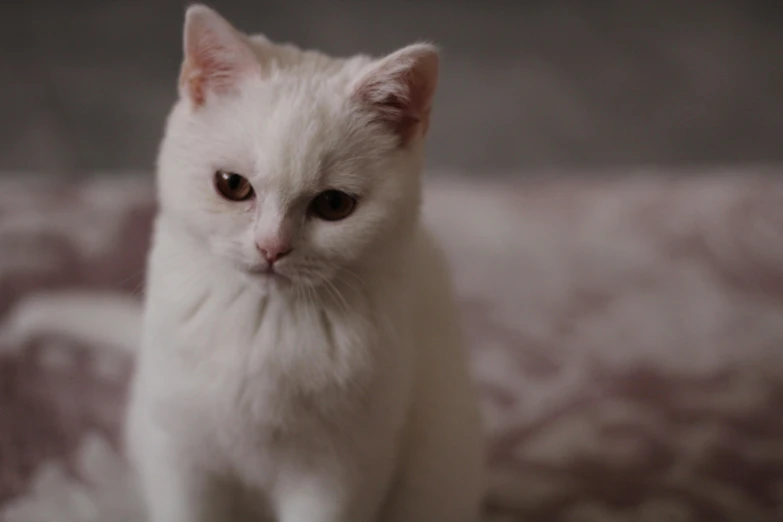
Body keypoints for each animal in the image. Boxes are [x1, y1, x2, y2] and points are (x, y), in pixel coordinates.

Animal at [124, 4, 484, 520]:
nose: (272, 246)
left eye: (334, 204)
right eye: (232, 185)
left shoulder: (340, 474)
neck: (266, 326)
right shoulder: (181, 455)